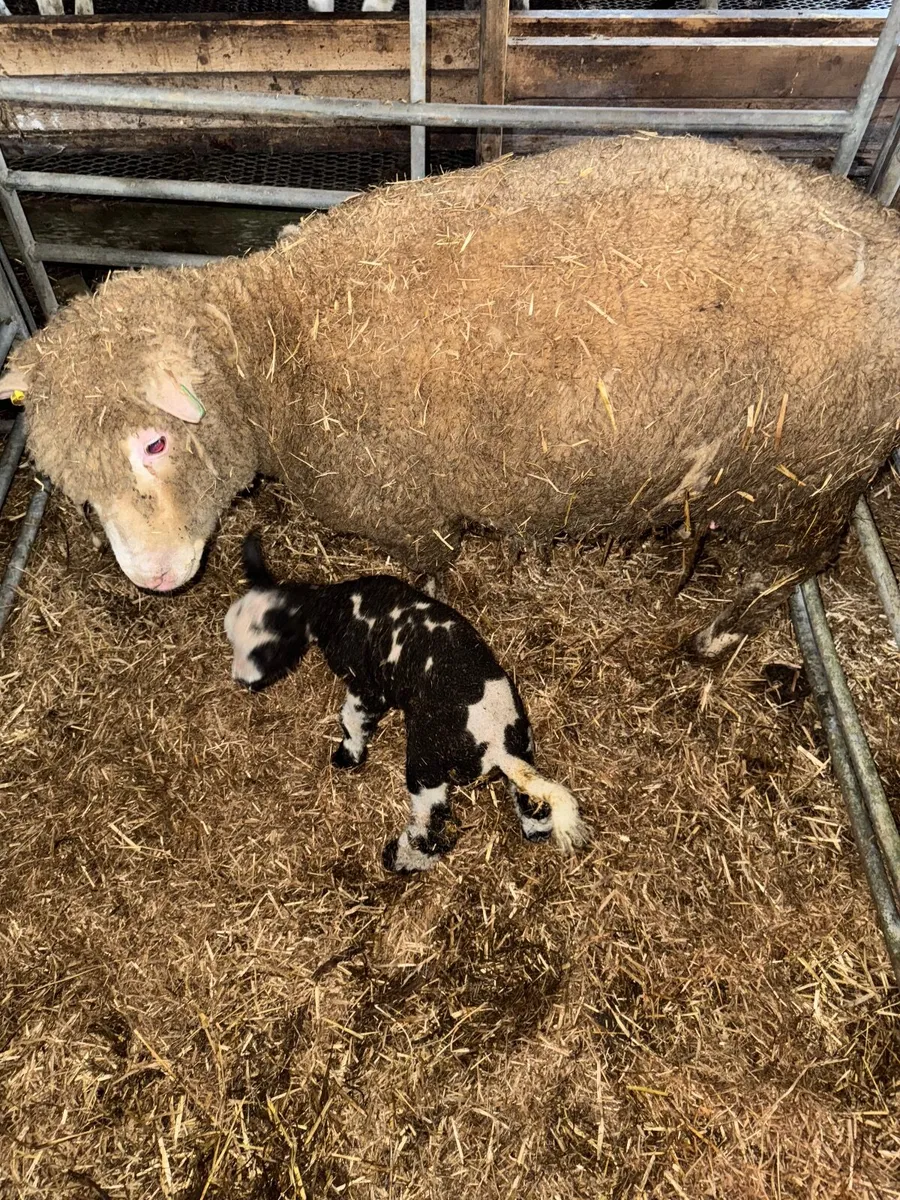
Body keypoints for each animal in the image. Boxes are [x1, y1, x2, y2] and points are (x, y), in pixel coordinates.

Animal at [4, 134, 900, 658]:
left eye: (155, 442)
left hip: (803, 479)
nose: (153, 580)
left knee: (785, 573)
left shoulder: (411, 509)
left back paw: (710, 640)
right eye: (75, 489)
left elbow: (425, 570)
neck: (277, 348)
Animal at [224, 534, 588, 871]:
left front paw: (347, 755)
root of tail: (495, 745)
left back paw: (398, 859)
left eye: (266, 647)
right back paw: (535, 831)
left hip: (427, 763)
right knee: (531, 797)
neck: (333, 607)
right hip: (522, 744)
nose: (242, 680)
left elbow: (351, 718)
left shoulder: (368, 685)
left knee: (433, 827)